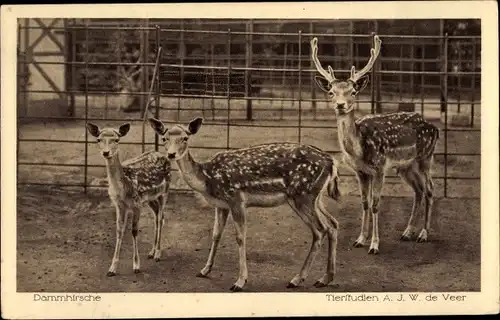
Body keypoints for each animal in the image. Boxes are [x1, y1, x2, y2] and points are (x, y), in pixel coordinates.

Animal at [148, 117, 342, 292]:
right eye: (164, 138)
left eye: (185, 138)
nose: (171, 154)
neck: (207, 179)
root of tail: (331, 161)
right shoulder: (221, 205)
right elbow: (216, 235)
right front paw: (204, 270)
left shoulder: (236, 199)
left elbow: (240, 238)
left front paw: (240, 281)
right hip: (315, 197)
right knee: (332, 224)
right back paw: (324, 278)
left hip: (302, 195)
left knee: (320, 230)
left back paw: (296, 279)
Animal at [310, 35, 440, 255]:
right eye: (331, 92)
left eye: (353, 91)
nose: (340, 105)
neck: (359, 150)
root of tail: (434, 128)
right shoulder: (361, 171)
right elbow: (364, 203)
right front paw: (360, 239)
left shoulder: (380, 168)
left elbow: (376, 204)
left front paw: (374, 245)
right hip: (406, 166)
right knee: (419, 190)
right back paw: (407, 232)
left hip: (425, 157)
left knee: (430, 189)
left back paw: (423, 234)